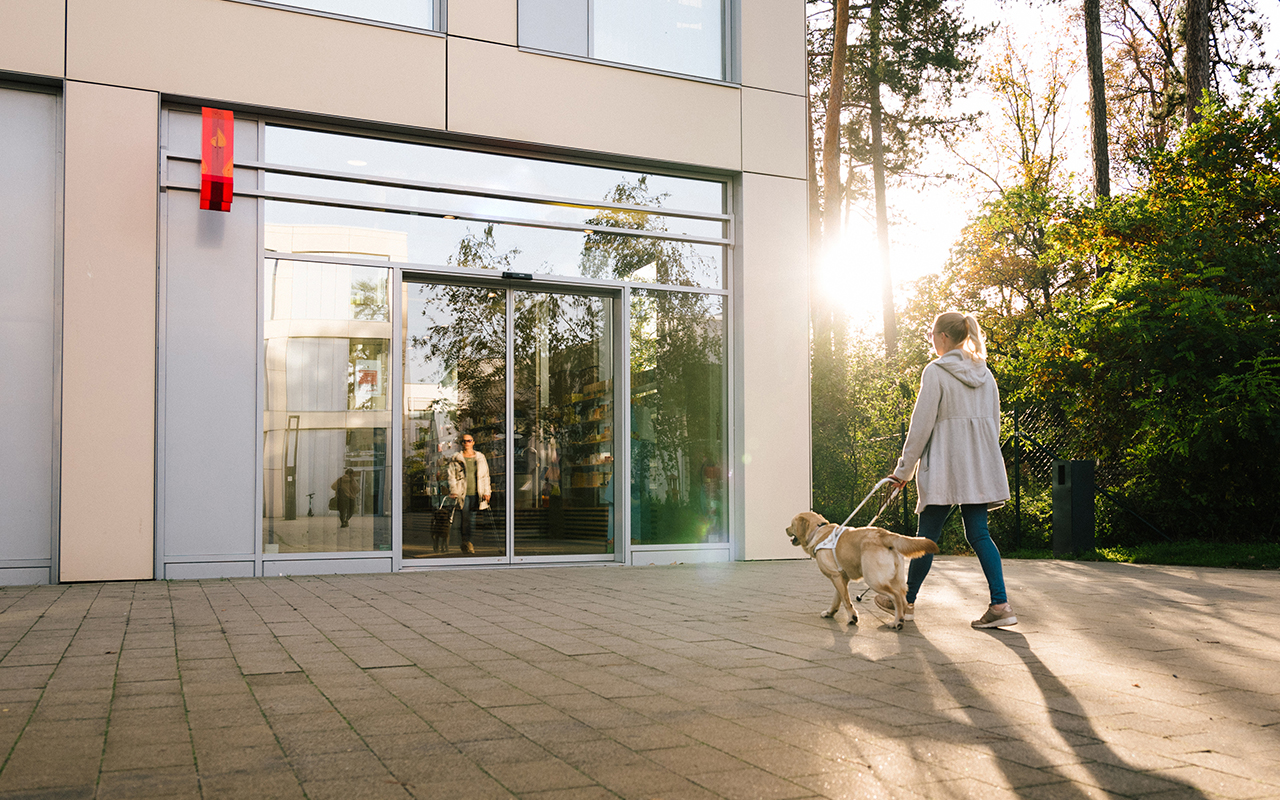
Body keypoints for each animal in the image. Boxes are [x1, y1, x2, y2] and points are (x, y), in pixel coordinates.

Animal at [783, 512, 936, 629]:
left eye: (792, 524)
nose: (785, 528)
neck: (818, 531)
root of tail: (884, 534)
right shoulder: (840, 577)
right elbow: (837, 598)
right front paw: (830, 613)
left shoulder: (835, 576)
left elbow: (846, 600)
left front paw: (852, 618)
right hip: (897, 579)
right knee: (903, 599)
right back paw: (901, 618)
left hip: (873, 579)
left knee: (896, 596)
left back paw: (896, 622)